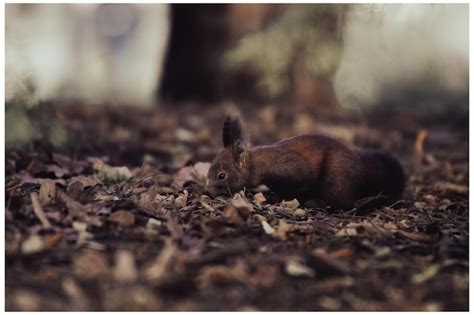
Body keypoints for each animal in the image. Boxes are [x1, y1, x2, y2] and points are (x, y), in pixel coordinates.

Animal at [206, 115, 406, 210]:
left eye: (221, 175)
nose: (207, 191)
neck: (256, 165)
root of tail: (359, 165)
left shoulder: (290, 170)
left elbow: (298, 185)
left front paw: (277, 198)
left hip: (335, 178)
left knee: (343, 202)